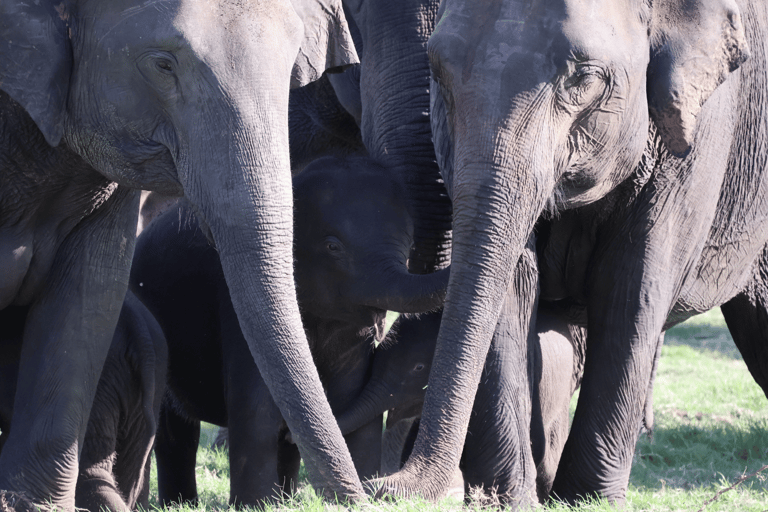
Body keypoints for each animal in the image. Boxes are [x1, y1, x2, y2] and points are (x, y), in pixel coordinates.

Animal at [129, 155, 449, 507]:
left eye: (410, 243)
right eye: (333, 247)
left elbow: (352, 396)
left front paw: (360, 487)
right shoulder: (235, 303)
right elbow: (257, 408)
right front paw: (254, 507)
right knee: (175, 429)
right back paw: (181, 504)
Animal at [374, 0, 768, 506]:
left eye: (584, 78)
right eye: (437, 71)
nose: (381, 487)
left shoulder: (701, 134)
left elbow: (631, 285)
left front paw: (587, 500)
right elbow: (514, 283)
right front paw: (507, 501)